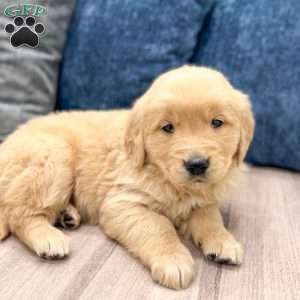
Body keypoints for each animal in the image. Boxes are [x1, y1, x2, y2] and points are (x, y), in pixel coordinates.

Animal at [0, 65, 254, 288]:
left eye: (217, 123)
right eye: (168, 127)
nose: (197, 164)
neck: (161, 174)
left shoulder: (204, 199)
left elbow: (210, 217)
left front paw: (223, 241)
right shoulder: (123, 203)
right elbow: (158, 226)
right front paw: (173, 259)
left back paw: (67, 215)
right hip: (54, 154)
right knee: (18, 213)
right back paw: (49, 238)